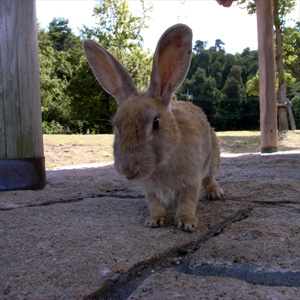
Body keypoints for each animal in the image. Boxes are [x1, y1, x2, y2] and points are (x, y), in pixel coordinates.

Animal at [83, 24, 224, 233]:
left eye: (156, 122)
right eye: (116, 125)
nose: (128, 171)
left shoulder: (190, 181)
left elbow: (187, 200)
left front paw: (187, 222)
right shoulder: (150, 190)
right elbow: (155, 203)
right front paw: (154, 220)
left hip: (213, 157)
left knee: (210, 177)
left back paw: (215, 193)